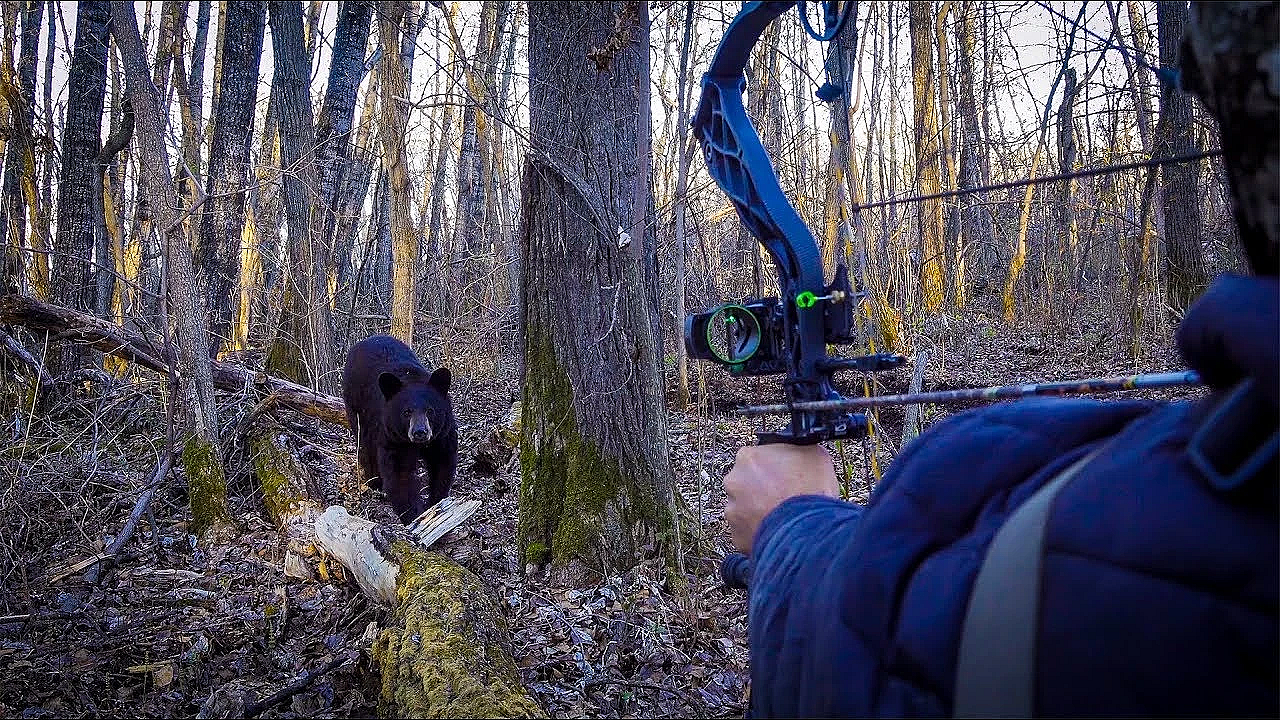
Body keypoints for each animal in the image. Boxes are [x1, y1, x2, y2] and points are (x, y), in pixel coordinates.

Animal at [341, 335, 457, 524]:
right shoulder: (394, 436)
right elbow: (400, 474)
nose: (420, 432)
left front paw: (435, 503)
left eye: (430, 410)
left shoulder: (442, 433)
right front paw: (415, 516)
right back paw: (374, 481)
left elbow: (442, 463)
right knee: (365, 443)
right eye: (406, 412)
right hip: (357, 405)